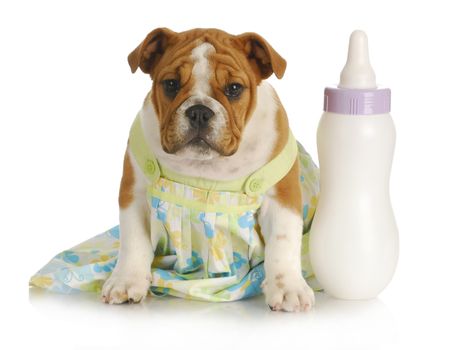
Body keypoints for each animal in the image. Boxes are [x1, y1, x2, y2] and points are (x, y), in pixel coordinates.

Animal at [100, 28, 316, 312]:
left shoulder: (282, 198)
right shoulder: (134, 194)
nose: (199, 111)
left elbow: (283, 242)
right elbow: (134, 240)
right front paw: (126, 281)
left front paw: (288, 287)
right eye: (171, 84)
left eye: (234, 88)